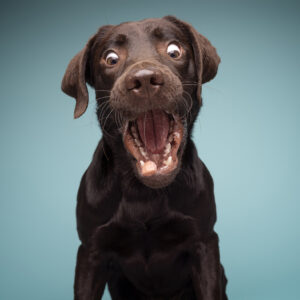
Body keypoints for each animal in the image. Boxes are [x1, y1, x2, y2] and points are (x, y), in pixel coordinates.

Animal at [62, 16, 229, 300]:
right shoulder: (90, 252)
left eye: (174, 50)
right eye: (110, 58)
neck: (143, 194)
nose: (145, 79)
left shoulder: (204, 243)